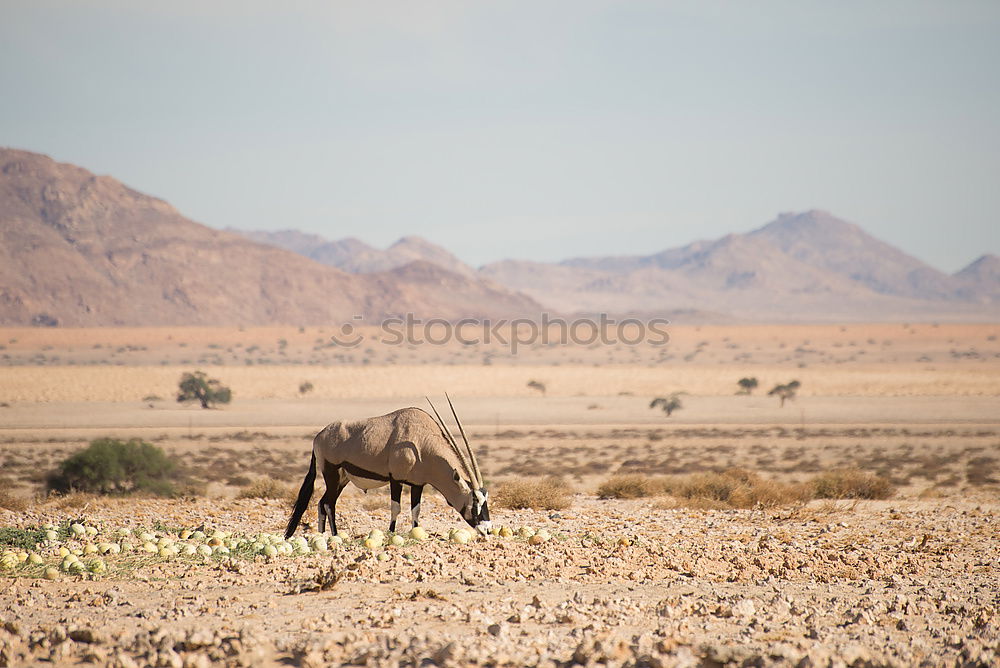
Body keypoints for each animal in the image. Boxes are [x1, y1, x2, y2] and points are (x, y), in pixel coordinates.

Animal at [286, 394, 492, 540]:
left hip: (342, 479)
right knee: (329, 504)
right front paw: (391, 533)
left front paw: (416, 532)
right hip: (331, 473)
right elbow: (396, 508)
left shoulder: (418, 484)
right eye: (474, 501)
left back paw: (322, 535)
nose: (488, 530)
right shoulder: (396, 479)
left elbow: (415, 510)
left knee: (322, 503)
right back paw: (336, 535)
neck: (422, 443)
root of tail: (318, 436)